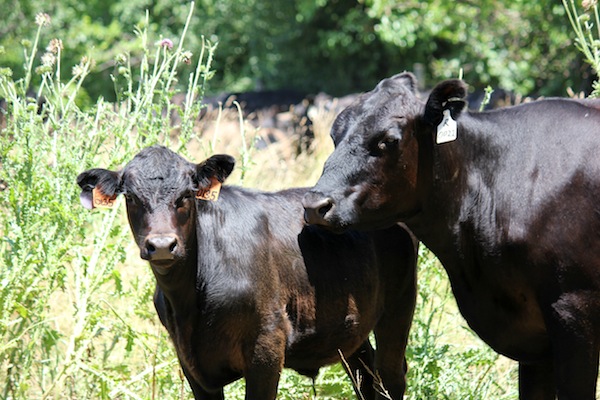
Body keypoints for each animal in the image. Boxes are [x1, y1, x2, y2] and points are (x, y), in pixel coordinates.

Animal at [77, 145, 417, 400]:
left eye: (186, 196)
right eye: (132, 198)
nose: (162, 245)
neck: (190, 303)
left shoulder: (266, 346)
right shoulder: (191, 364)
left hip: (399, 306)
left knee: (390, 375)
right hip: (350, 327)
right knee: (366, 378)